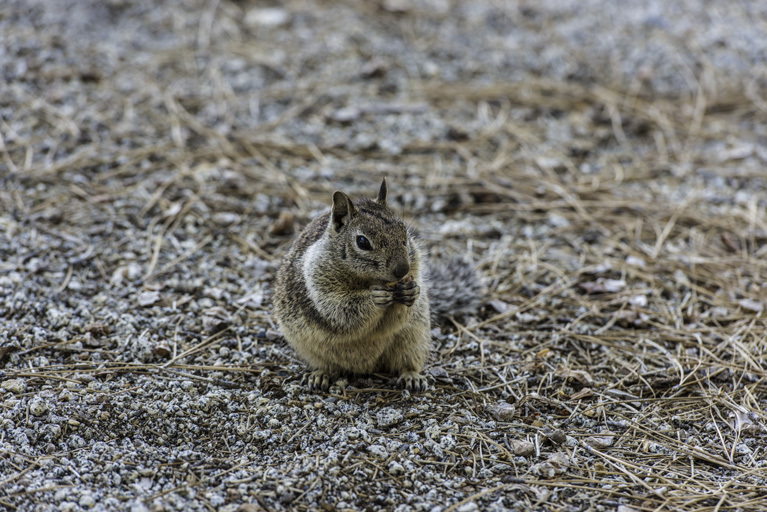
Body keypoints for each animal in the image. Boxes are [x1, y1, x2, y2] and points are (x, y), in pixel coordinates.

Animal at [272, 177, 480, 392]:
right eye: (362, 242)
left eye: (404, 232)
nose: (402, 269)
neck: (370, 280)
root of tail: (365, 367)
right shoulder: (320, 283)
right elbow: (341, 310)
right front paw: (375, 298)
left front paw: (411, 291)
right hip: (313, 351)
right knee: (326, 365)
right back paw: (320, 375)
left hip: (414, 339)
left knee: (406, 362)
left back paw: (412, 376)